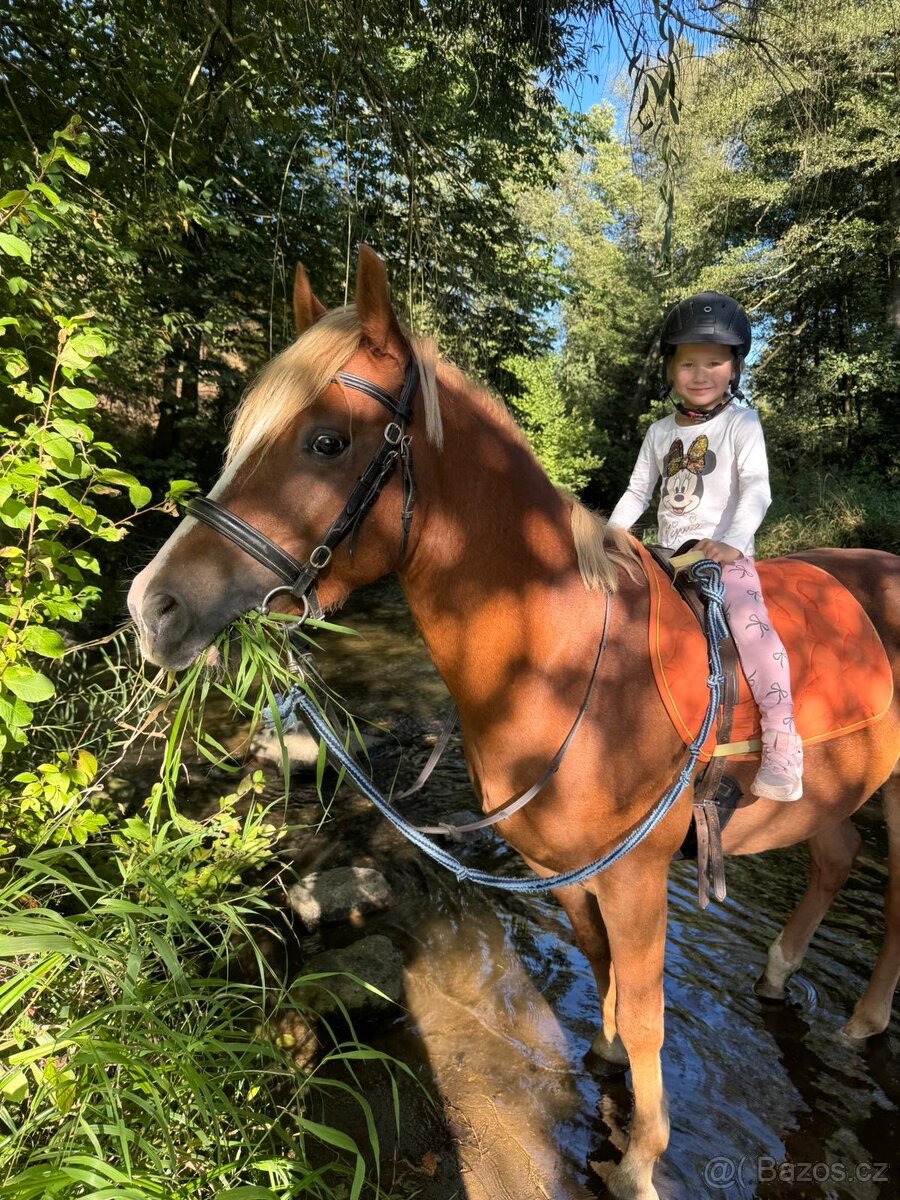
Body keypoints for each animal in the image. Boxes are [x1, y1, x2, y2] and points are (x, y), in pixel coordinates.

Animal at [128, 246, 900, 1200]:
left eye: (326, 441)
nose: (153, 606)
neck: (566, 666)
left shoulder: (638, 877)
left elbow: (649, 1013)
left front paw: (639, 1158)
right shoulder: (561, 872)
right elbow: (606, 978)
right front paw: (604, 1059)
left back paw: (863, 1020)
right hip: (834, 796)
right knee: (836, 856)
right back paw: (782, 971)